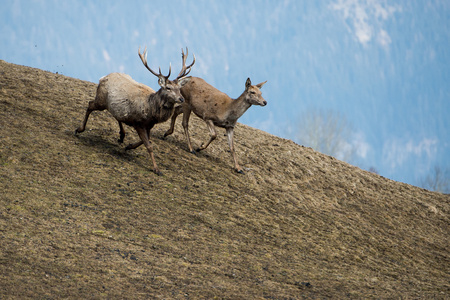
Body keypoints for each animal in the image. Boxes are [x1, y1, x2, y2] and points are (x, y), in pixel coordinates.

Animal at [75, 47, 195, 176]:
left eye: (179, 88)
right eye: (168, 88)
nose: (181, 99)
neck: (152, 112)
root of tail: (102, 77)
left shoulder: (149, 125)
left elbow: (147, 141)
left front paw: (129, 146)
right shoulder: (138, 122)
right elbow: (149, 145)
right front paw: (157, 169)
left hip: (113, 106)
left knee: (117, 116)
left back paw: (122, 136)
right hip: (101, 100)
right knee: (90, 105)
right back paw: (79, 129)